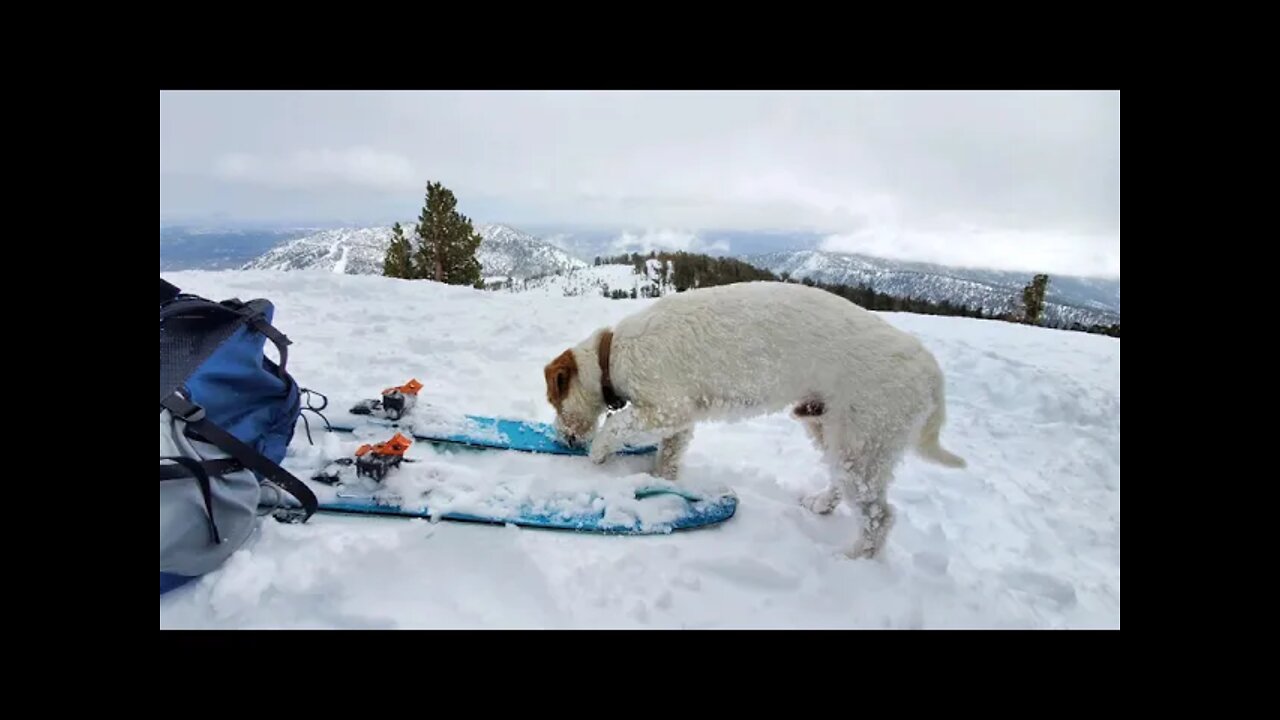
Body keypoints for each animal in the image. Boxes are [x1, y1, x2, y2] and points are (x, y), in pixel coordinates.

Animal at [545, 279, 962, 556]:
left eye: (554, 401)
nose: (561, 439)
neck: (612, 354)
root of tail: (930, 371)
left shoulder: (665, 407)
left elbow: (617, 424)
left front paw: (598, 453)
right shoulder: (678, 418)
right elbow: (670, 454)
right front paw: (661, 482)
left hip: (864, 441)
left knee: (880, 515)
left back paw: (855, 556)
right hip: (830, 429)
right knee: (845, 485)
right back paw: (821, 504)